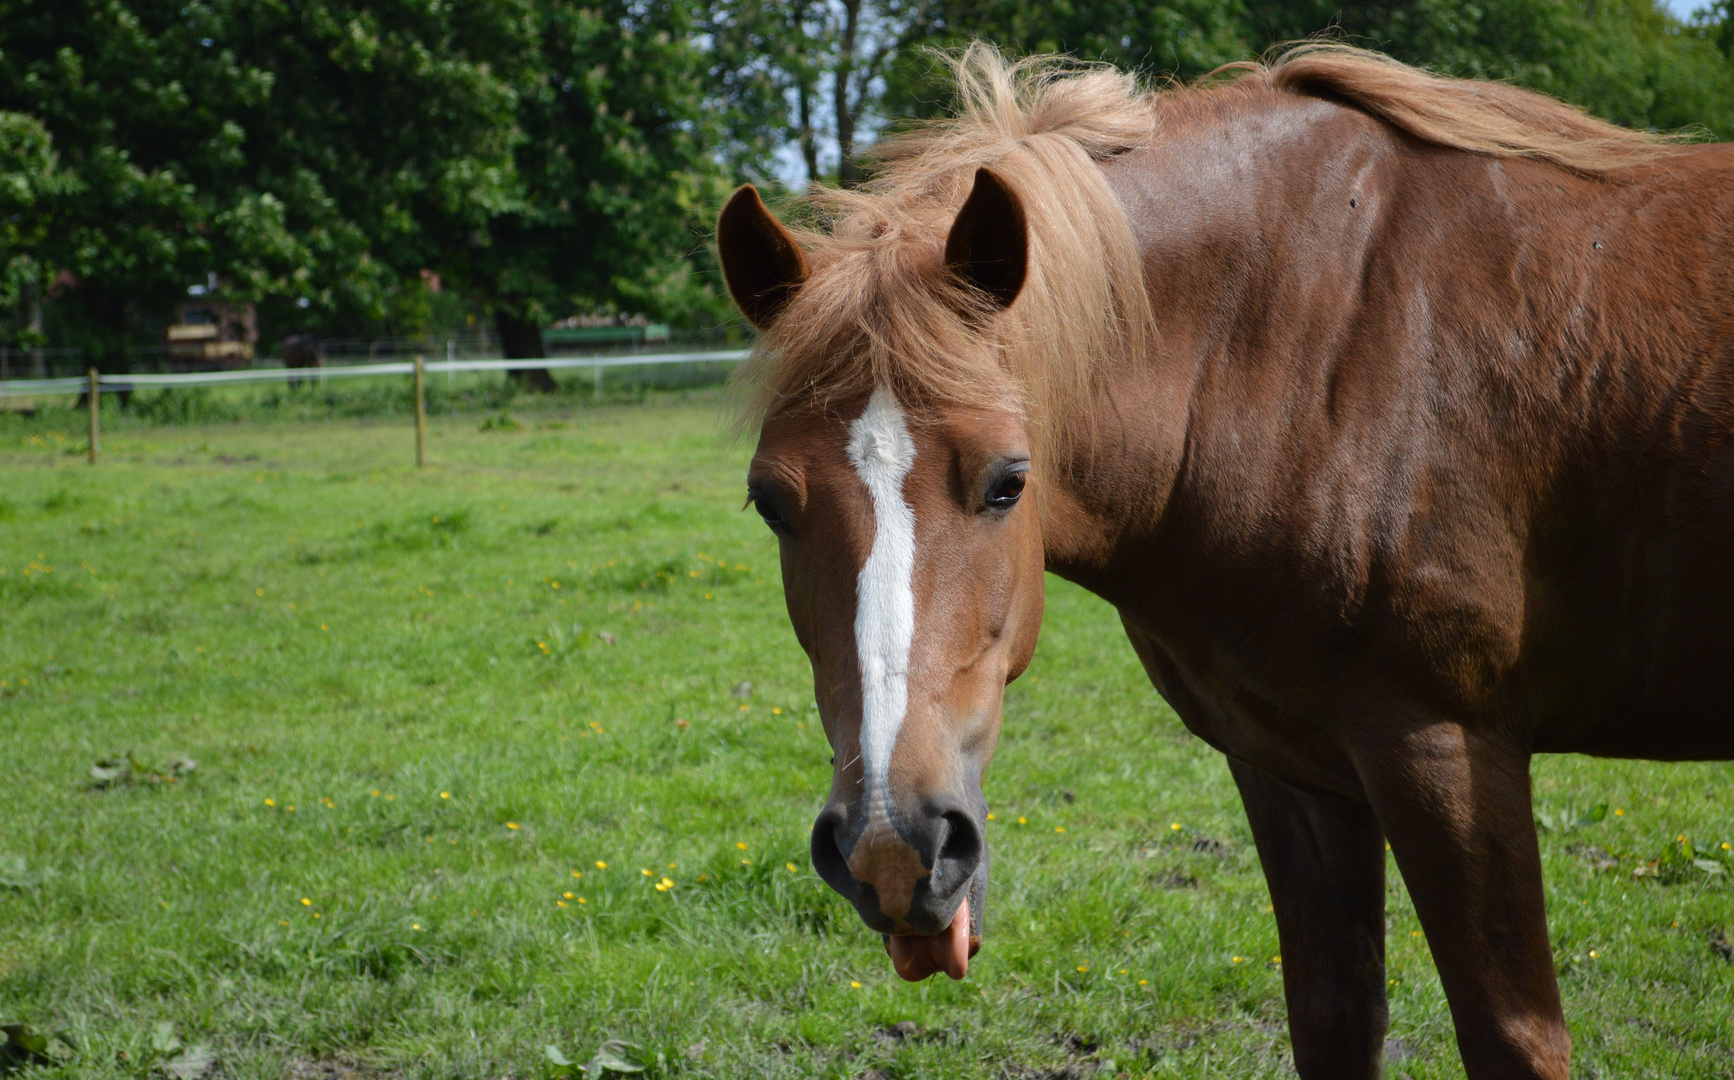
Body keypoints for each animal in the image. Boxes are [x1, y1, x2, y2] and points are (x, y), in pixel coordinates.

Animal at [710, 44, 1727, 1080]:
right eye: (770, 503)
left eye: (1007, 482)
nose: (894, 840)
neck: (1307, 356)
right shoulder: (1295, 772)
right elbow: (1334, 1016)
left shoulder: (1447, 749)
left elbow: (1513, 1035)